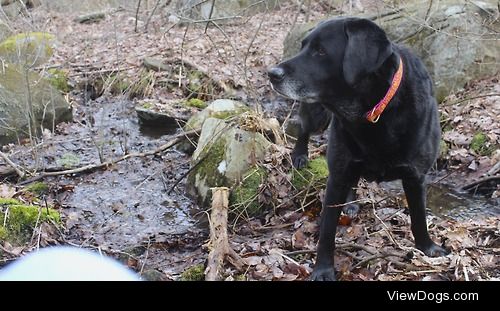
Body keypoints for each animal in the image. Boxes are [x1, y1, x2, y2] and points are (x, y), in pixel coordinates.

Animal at [270, 17, 450, 282]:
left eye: (320, 51)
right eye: (303, 47)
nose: (271, 73)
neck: (373, 112)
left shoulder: (416, 175)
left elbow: (419, 216)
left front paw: (427, 248)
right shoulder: (336, 175)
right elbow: (327, 230)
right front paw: (323, 269)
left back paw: (352, 202)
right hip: (317, 116)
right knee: (303, 128)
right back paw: (300, 155)